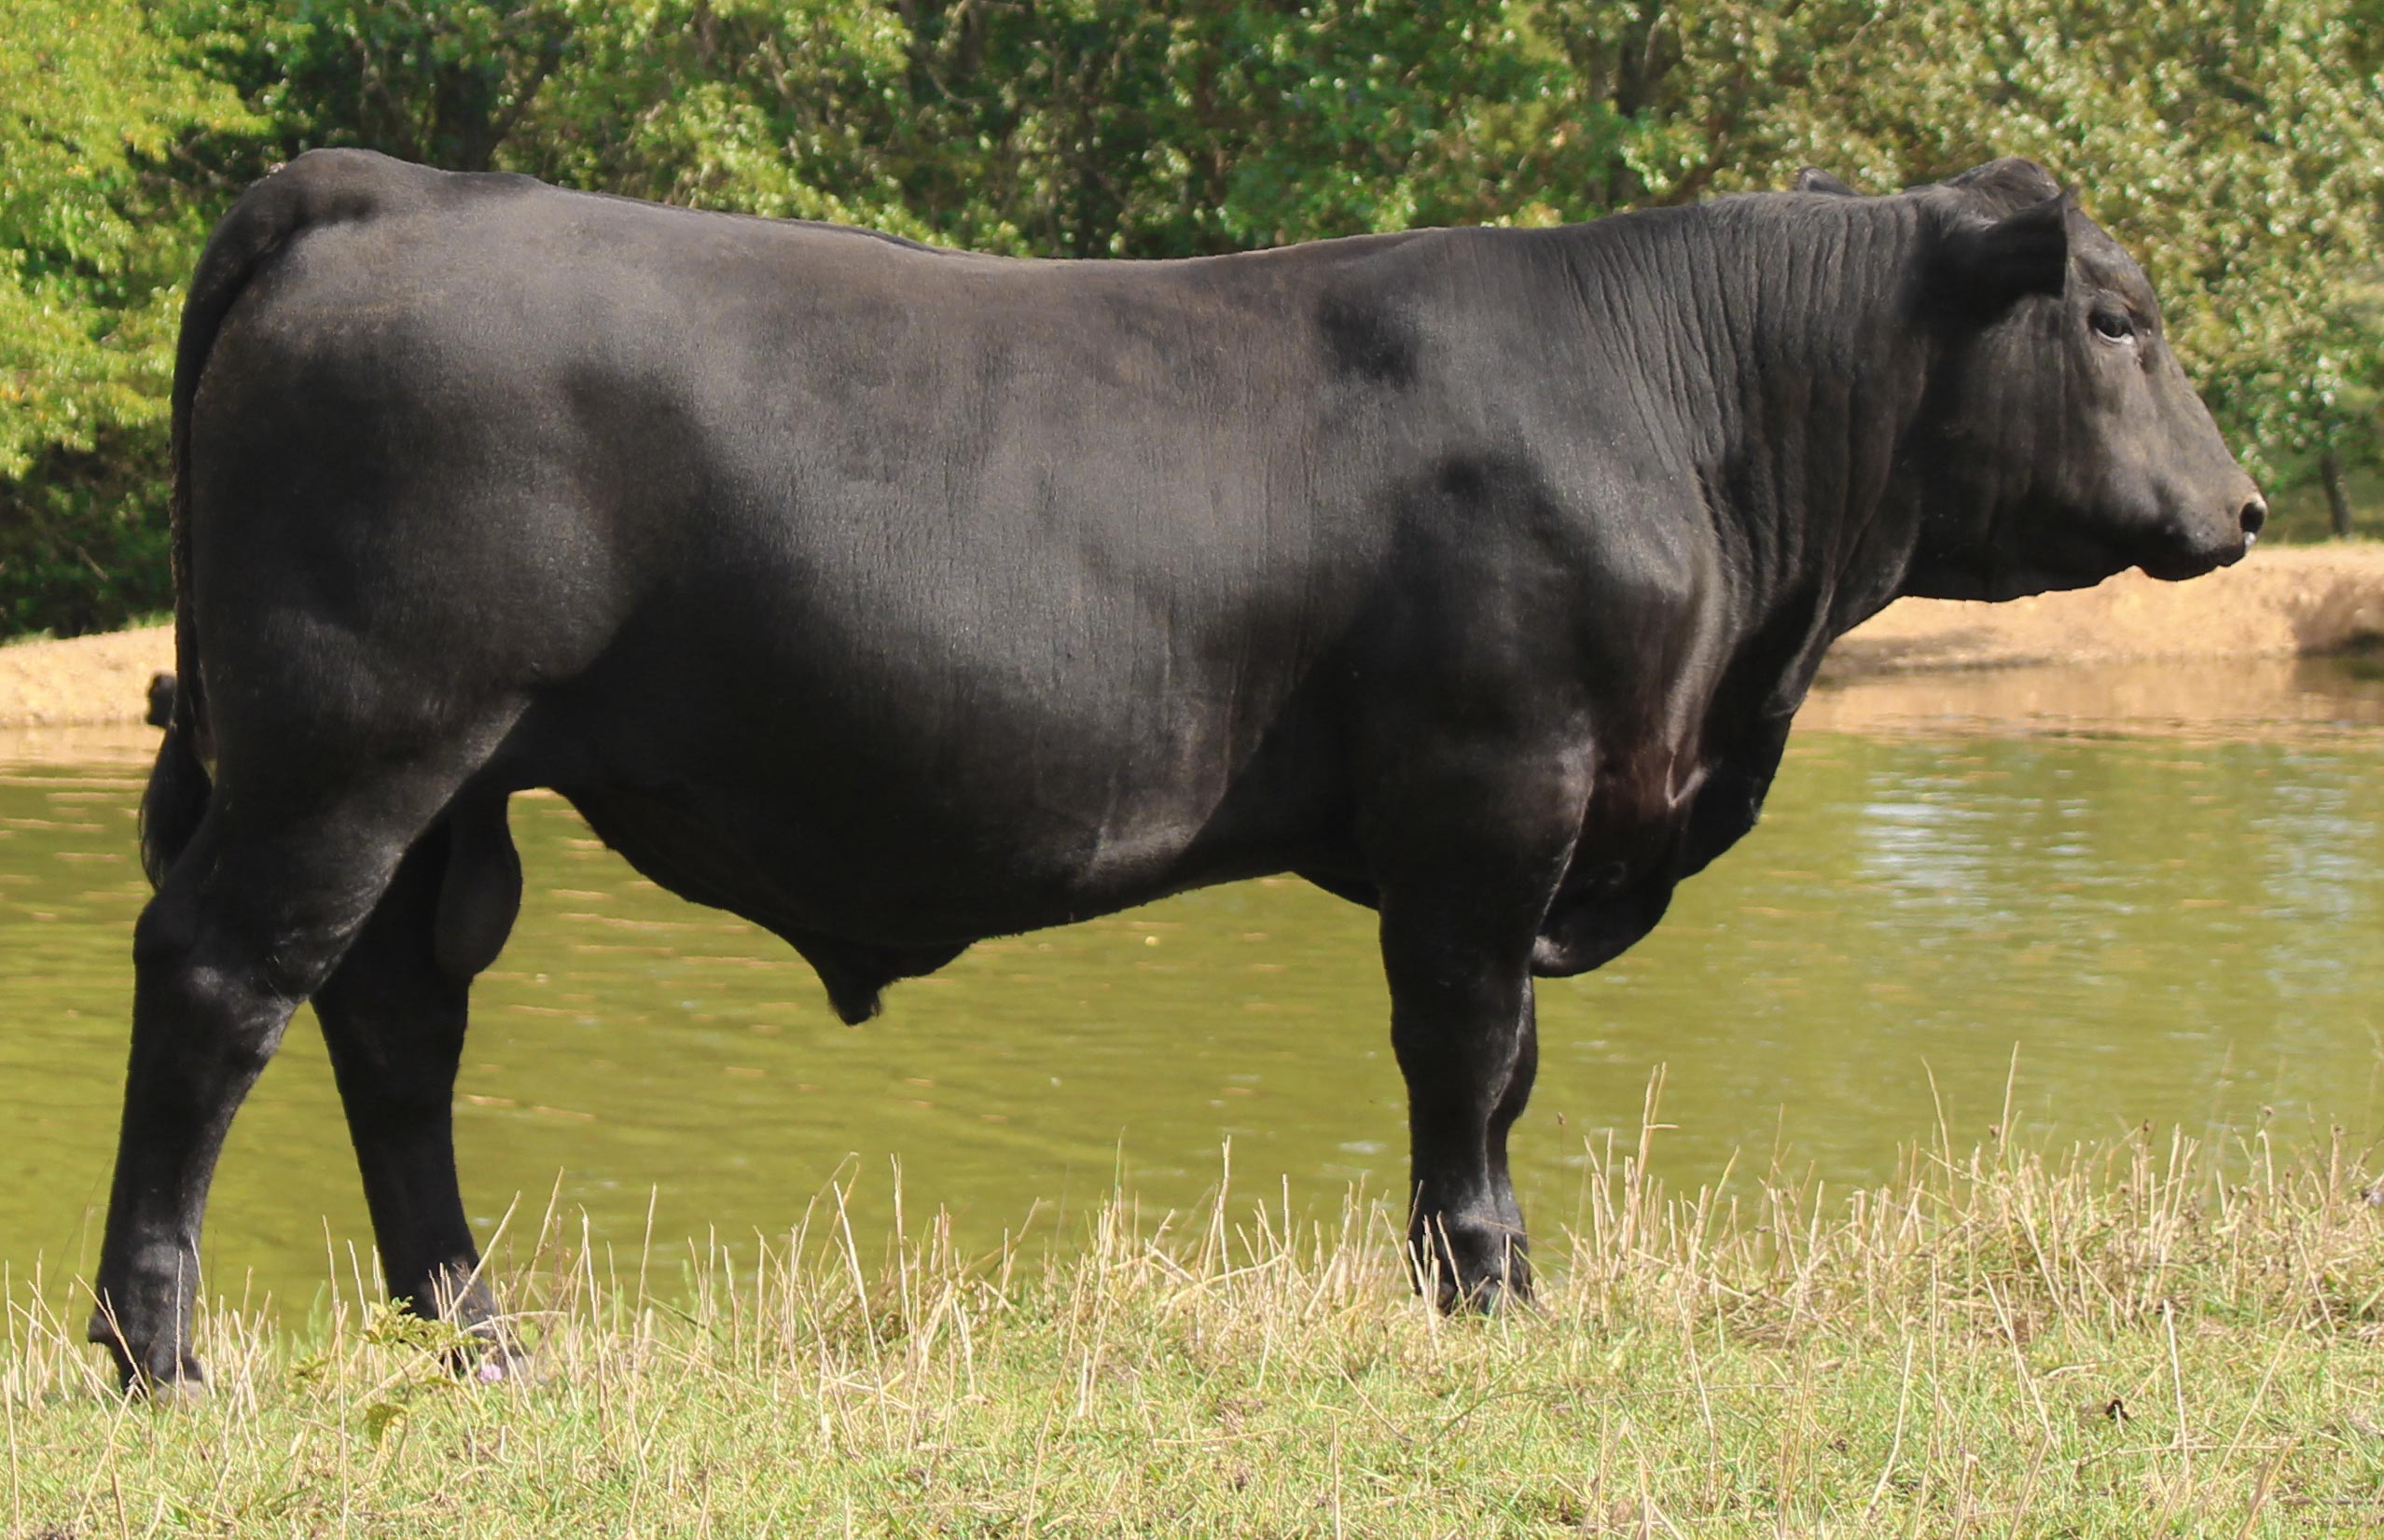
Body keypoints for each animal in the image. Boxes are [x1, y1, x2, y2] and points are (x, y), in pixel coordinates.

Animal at [90, 148, 2261, 1392]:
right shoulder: (1496, 789)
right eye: (2118, 317)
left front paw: (1491, 1275)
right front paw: (1485, 1291)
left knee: (394, 1026)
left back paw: (476, 1335)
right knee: (221, 989)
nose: (2239, 508)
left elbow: (1498, 1070)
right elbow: (1470, 1055)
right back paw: (157, 1350)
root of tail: (391, 184)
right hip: (355, 743)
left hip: (437, 787)